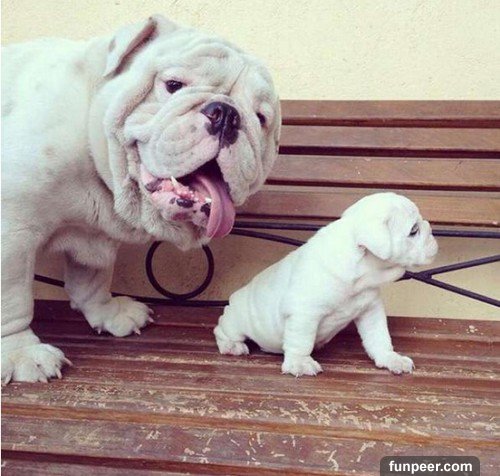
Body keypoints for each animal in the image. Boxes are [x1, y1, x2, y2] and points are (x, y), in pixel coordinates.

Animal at [1, 14, 281, 383]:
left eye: (260, 118)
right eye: (173, 85)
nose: (226, 114)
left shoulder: (95, 233)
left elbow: (91, 278)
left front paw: (107, 313)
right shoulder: (12, 231)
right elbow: (13, 299)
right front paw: (20, 352)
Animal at [214, 193, 438, 377]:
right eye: (413, 231)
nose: (430, 229)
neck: (362, 273)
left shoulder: (371, 310)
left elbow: (379, 336)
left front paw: (390, 358)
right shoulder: (304, 313)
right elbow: (301, 341)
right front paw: (300, 363)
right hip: (237, 321)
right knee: (223, 330)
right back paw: (232, 346)